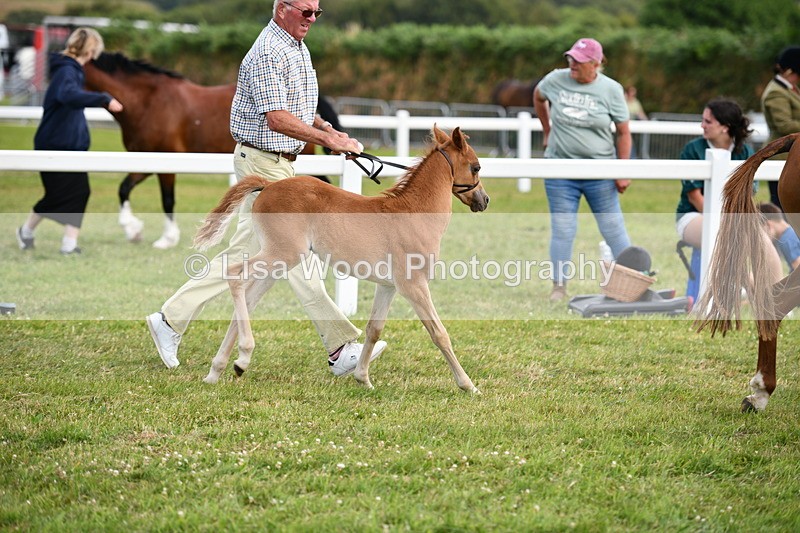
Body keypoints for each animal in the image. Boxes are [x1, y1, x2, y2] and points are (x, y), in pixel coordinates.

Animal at [83, 52, 340, 248]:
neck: (149, 103)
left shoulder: (165, 163)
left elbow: (167, 200)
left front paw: (167, 239)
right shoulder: (146, 160)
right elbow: (124, 189)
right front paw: (133, 230)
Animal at [193, 126, 489, 392]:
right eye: (476, 167)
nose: (484, 200)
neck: (412, 213)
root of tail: (268, 185)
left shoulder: (388, 286)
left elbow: (374, 329)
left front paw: (363, 378)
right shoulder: (414, 285)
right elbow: (439, 333)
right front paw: (468, 385)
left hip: (277, 263)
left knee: (246, 301)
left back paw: (218, 370)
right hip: (282, 255)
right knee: (234, 275)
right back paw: (243, 356)